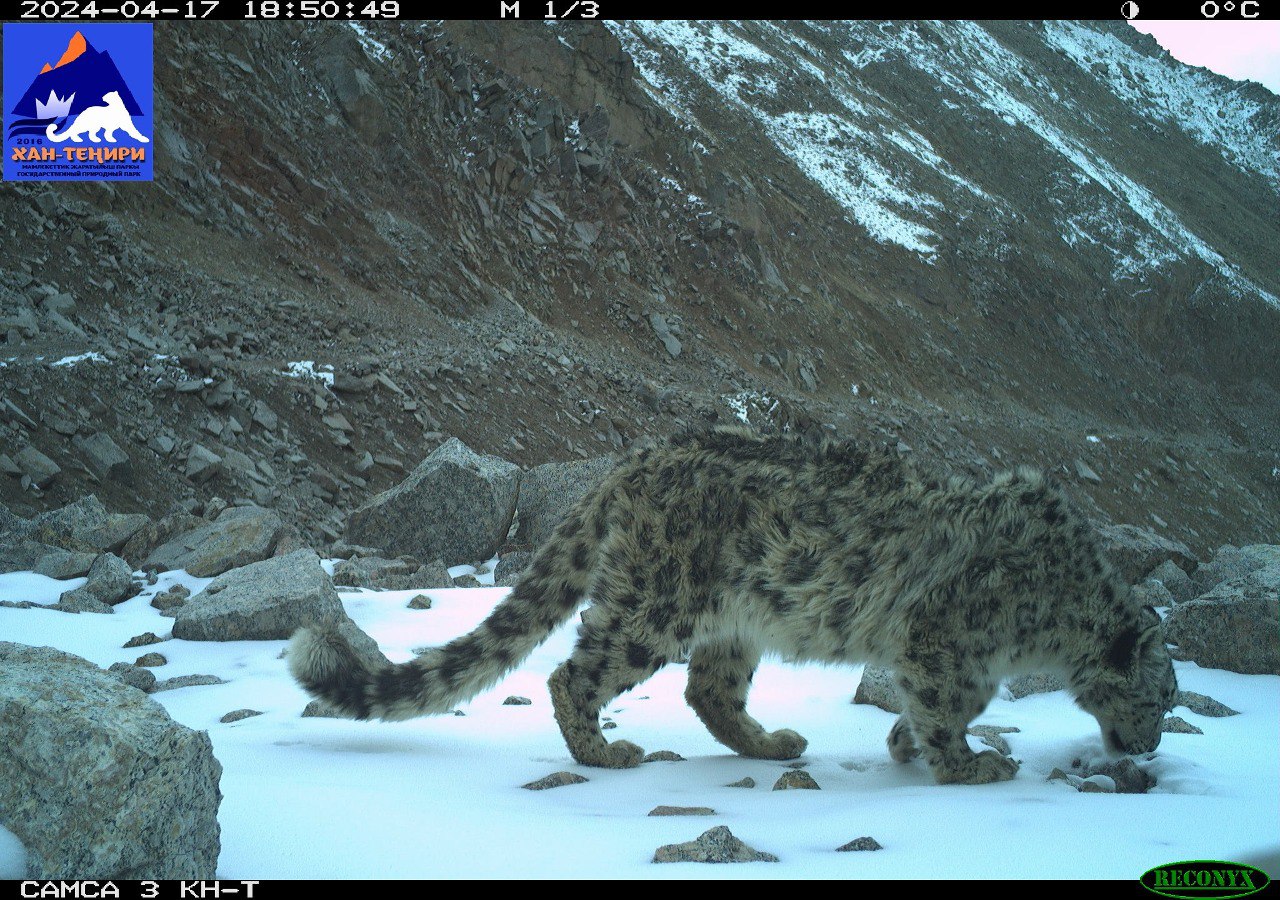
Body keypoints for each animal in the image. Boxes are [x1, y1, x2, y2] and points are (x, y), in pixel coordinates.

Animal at [290, 425, 1177, 783]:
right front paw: (971, 765)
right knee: (578, 673)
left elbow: (927, 704)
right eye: (1162, 696)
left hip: (739, 618)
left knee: (710, 689)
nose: (1153, 744)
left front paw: (903, 743)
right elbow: (948, 703)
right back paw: (605, 752)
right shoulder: (946, 641)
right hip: (658, 603)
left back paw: (771, 742)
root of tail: (634, 460)